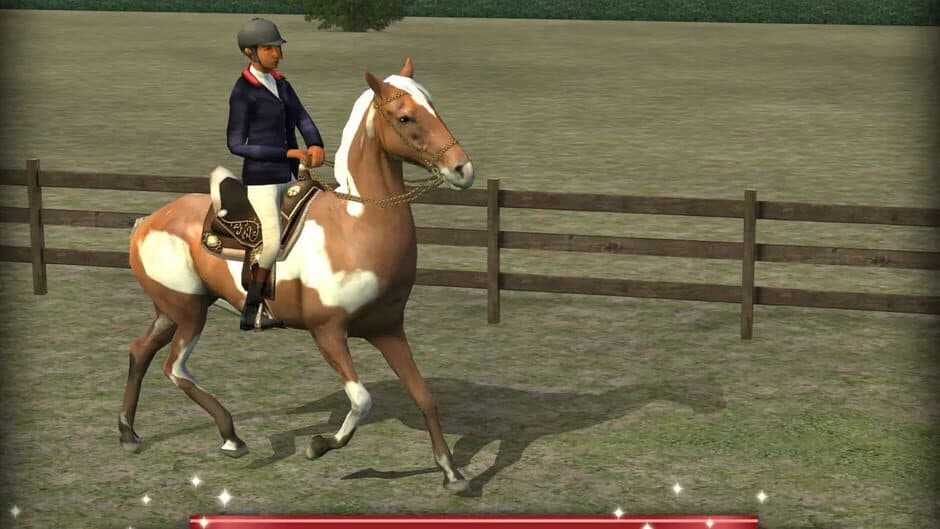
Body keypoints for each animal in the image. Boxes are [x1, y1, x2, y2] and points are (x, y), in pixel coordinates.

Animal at [121, 58, 474, 491]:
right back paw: (232, 437)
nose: (462, 168)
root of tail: (147, 222)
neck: (356, 224)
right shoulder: (328, 332)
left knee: (140, 351)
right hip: (188, 313)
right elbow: (362, 399)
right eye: (404, 116)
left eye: (433, 106)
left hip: (171, 310)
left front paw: (452, 472)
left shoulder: (388, 329)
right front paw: (320, 444)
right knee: (174, 367)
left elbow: (424, 396)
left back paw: (129, 434)